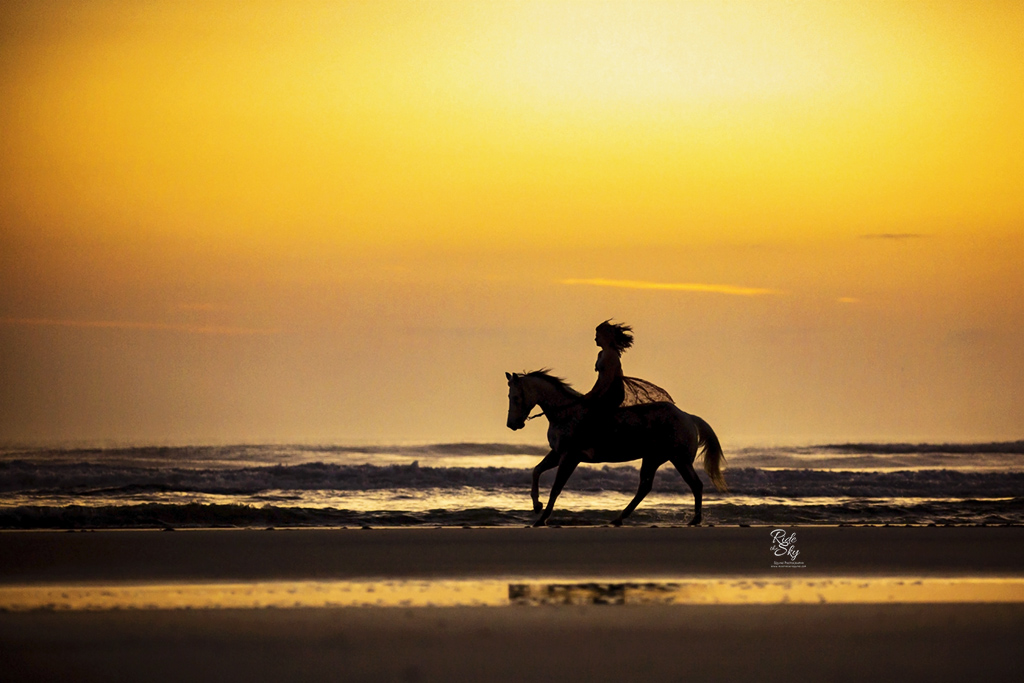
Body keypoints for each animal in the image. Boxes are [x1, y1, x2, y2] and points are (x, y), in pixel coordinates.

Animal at [505, 370, 729, 528]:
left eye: (515, 397)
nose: (512, 424)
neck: (565, 413)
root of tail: (688, 417)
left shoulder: (570, 457)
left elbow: (555, 489)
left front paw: (541, 518)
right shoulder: (558, 454)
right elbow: (536, 471)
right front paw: (536, 506)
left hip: (678, 459)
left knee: (695, 485)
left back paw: (695, 520)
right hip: (654, 458)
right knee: (646, 488)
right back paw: (618, 519)